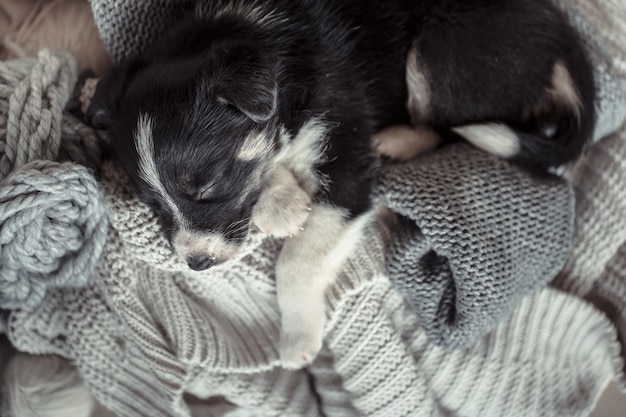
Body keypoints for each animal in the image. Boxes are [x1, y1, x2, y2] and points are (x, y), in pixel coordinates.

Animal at [85, 0, 592, 368]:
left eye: (208, 186)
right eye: (152, 204)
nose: (197, 265)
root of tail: (563, 40)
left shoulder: (350, 165)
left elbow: (296, 262)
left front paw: (297, 339)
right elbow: (273, 164)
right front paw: (281, 203)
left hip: (441, 50)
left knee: (451, 126)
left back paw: (399, 140)